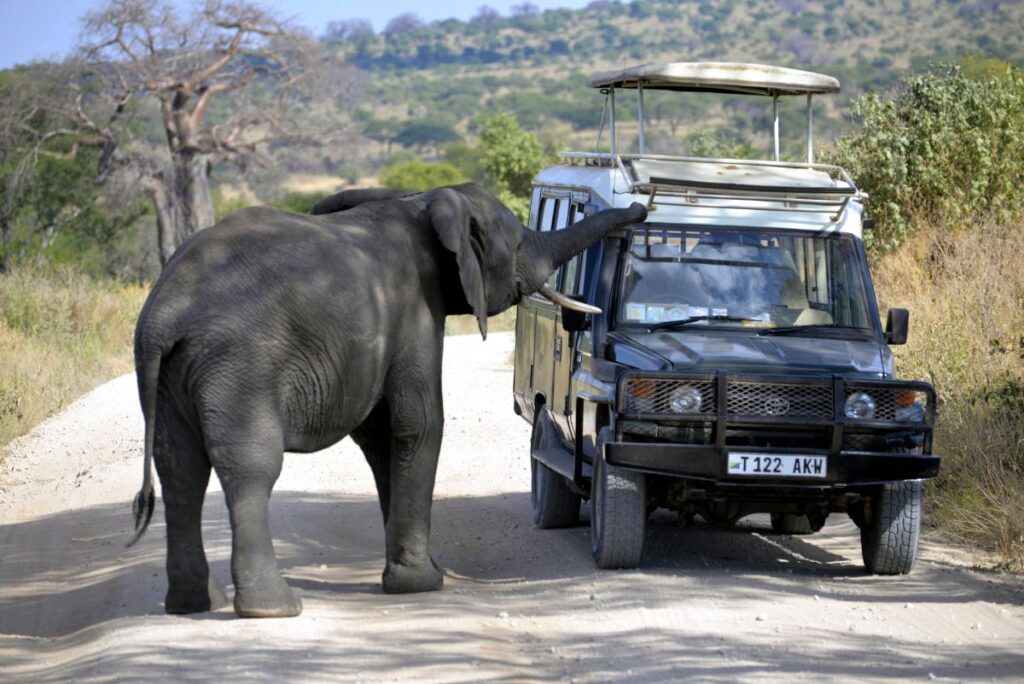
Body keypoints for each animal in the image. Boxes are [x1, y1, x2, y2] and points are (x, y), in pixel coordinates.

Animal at [129, 182, 647, 618]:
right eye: (519, 244)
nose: (642, 207)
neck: (422, 200)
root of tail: (163, 312)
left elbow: (382, 438)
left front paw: (414, 573)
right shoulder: (417, 307)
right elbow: (420, 423)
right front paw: (422, 585)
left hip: (173, 372)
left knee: (180, 469)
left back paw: (194, 604)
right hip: (240, 362)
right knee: (251, 467)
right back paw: (273, 608)